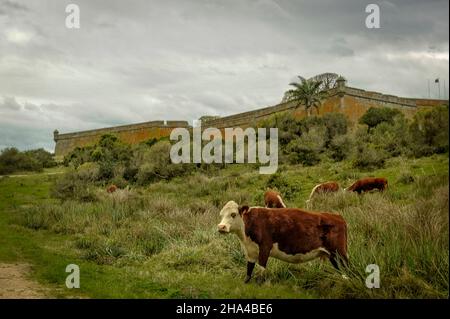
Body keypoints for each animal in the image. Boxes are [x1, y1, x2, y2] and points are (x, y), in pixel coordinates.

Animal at [217, 201, 348, 284]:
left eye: (233, 214)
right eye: (221, 215)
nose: (221, 227)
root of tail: (338, 217)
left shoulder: (265, 247)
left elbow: (261, 270)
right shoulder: (251, 251)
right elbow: (249, 271)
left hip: (340, 254)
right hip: (332, 255)